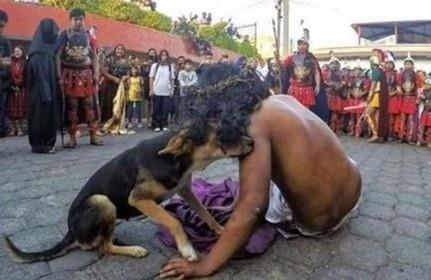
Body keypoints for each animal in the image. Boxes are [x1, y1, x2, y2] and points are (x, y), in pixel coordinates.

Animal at [3, 131, 253, 262]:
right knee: (102, 248)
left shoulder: (185, 190)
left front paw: (221, 230)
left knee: (102, 242)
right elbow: (173, 220)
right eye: (224, 134)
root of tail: (70, 231)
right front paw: (187, 249)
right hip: (102, 202)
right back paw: (133, 250)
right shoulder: (138, 198)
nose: (253, 141)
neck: (175, 159)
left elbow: (204, 212)